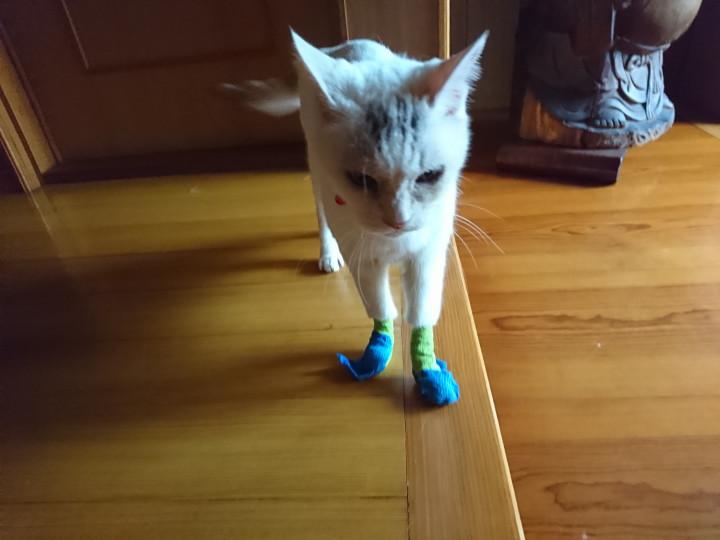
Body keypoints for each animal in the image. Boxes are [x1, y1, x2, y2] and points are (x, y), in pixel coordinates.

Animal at [228, 30, 489, 406]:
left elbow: (420, 313)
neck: (394, 243)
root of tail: (344, 45)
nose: (398, 219)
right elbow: (380, 308)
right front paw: (376, 353)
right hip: (317, 171)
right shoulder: (362, 257)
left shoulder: (428, 254)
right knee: (322, 215)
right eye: (361, 180)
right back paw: (327, 254)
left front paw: (428, 371)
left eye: (429, 176)